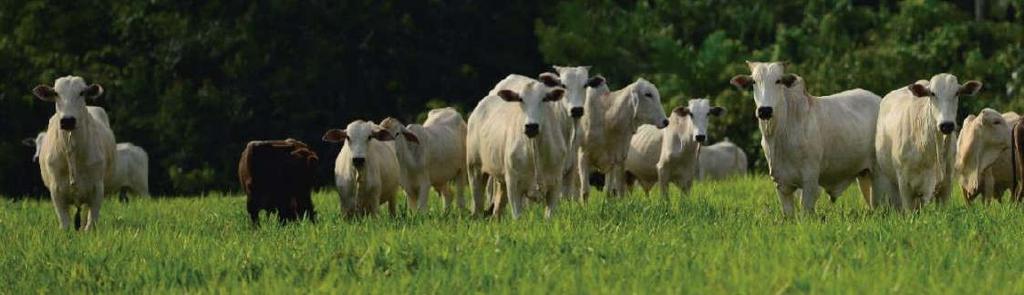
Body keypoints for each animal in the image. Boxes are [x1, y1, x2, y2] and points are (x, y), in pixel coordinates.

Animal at [32, 76, 116, 230]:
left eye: (82, 93)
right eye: (56, 93)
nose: (68, 120)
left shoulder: (97, 189)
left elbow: (91, 224)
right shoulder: (56, 191)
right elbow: (65, 224)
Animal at [468, 73, 573, 218]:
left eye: (545, 98)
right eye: (520, 99)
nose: (531, 126)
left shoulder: (555, 185)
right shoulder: (514, 186)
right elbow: (517, 216)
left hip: (500, 181)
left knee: (497, 209)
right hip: (475, 169)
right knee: (477, 205)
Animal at [729, 61, 880, 214]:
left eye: (778, 81)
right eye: (754, 82)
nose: (765, 110)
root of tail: (878, 99)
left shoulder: (810, 181)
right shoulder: (780, 183)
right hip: (864, 175)